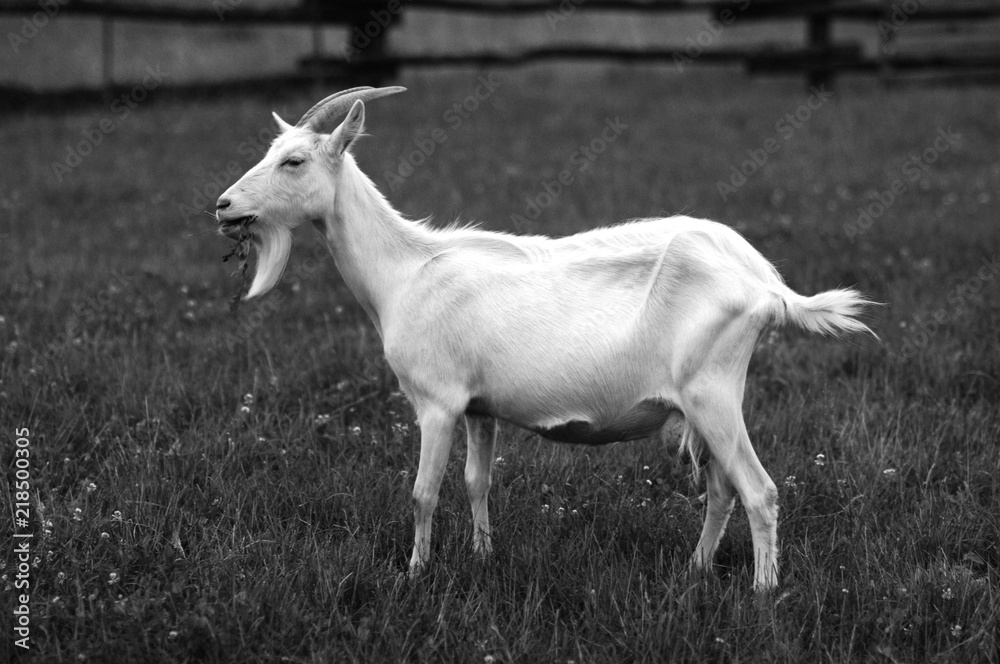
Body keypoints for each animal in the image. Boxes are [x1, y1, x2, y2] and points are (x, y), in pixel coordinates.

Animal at [215, 86, 874, 591]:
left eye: (294, 162)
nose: (222, 205)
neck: (405, 271)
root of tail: (766, 283)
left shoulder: (437, 401)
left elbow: (423, 492)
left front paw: (415, 574)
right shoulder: (479, 407)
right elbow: (476, 482)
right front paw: (482, 557)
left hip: (713, 393)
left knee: (759, 492)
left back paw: (762, 593)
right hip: (701, 403)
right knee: (721, 490)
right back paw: (694, 570)